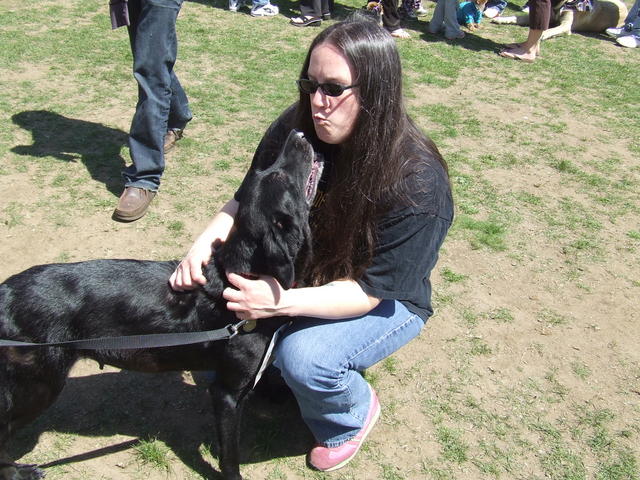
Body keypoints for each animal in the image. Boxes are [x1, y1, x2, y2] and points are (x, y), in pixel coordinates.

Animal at [0, 130, 320, 480]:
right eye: (279, 176)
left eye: (270, 172)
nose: (298, 133)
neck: (238, 276)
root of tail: (6, 292)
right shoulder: (226, 394)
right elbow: (230, 458)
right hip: (39, 386)